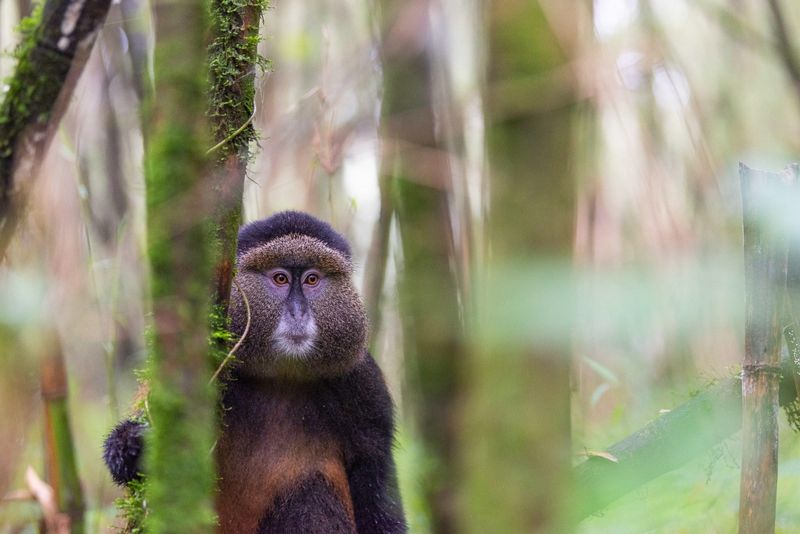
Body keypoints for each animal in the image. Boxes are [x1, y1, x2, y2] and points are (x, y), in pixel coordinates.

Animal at [103, 211, 407, 534]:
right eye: (280, 278)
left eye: (312, 279)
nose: (298, 313)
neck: (282, 375)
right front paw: (131, 446)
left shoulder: (364, 385)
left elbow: (375, 483)